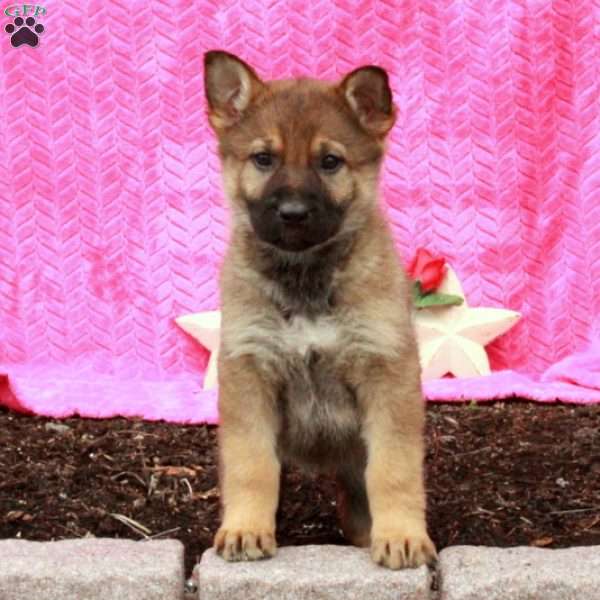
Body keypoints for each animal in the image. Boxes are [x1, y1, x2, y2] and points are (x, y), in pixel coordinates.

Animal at [204, 49, 434, 568]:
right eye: (263, 159)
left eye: (330, 162)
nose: (292, 214)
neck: (306, 275)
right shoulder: (249, 374)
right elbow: (251, 465)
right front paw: (246, 528)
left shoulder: (388, 376)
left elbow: (394, 468)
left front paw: (402, 535)